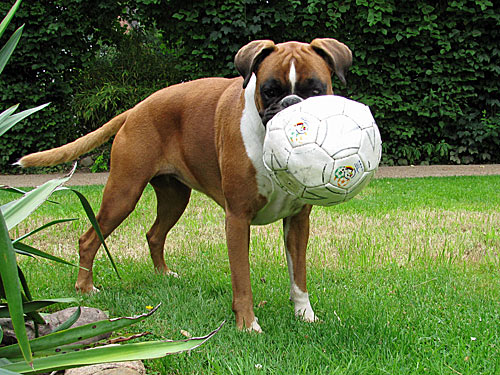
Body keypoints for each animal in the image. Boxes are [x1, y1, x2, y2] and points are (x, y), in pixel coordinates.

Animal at [18, 37, 352, 332]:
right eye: (269, 91)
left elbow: (299, 276)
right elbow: (242, 280)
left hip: (175, 198)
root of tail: (137, 108)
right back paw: (85, 288)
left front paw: (305, 315)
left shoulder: (298, 221)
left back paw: (164, 275)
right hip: (123, 193)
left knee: (154, 234)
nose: (292, 105)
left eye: (315, 90)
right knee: (89, 239)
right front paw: (247, 325)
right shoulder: (237, 219)